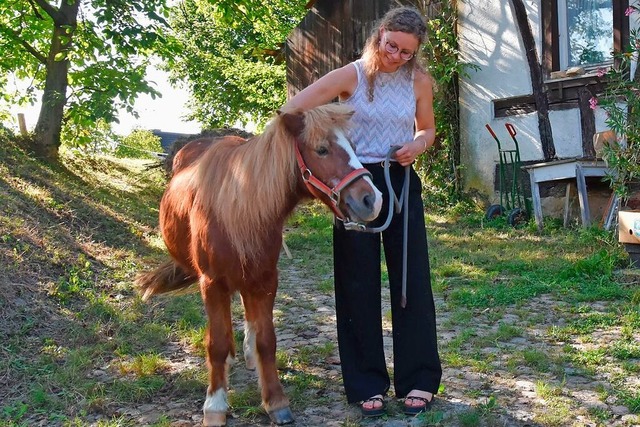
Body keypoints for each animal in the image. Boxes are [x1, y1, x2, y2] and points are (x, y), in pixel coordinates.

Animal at [136, 104, 380, 427]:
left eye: (352, 146)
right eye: (322, 149)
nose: (372, 199)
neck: (237, 203)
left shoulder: (265, 279)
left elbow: (266, 341)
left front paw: (275, 401)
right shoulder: (212, 283)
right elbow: (216, 344)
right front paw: (215, 405)